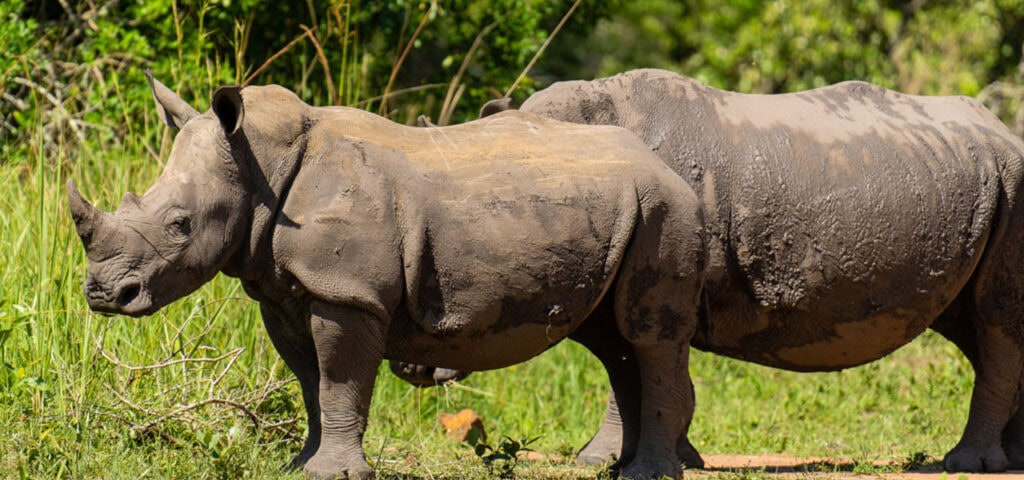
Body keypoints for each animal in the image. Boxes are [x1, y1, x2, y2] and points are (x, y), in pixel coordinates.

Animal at [68, 73, 709, 480]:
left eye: (180, 224)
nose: (103, 293)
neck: (259, 165)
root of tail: (666, 167)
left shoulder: (347, 293)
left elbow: (339, 380)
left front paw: (335, 473)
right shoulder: (283, 291)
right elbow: (311, 384)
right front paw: (300, 466)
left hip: (664, 208)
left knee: (647, 336)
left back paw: (649, 475)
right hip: (626, 209)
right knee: (611, 340)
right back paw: (622, 469)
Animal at [393, 69, 1024, 473]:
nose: (410, 366)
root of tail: (1005, 130)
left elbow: (639, 362)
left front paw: (643, 459)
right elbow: (624, 365)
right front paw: (634, 458)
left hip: (1013, 184)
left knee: (995, 322)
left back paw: (969, 464)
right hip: (974, 182)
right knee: (972, 325)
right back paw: (1008, 456)